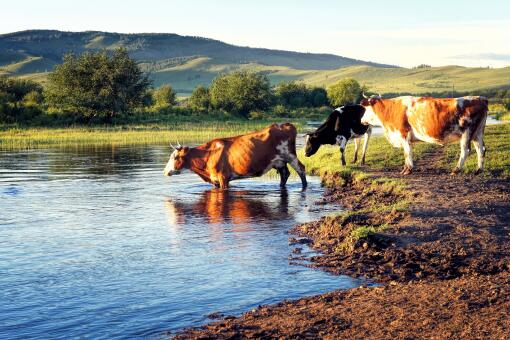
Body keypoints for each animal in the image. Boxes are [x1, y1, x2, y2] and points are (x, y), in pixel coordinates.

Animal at [163, 123, 306, 190]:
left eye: (175, 157)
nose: (164, 171)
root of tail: (285, 125)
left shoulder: (223, 178)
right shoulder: (215, 180)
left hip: (290, 155)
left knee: (301, 169)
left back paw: (304, 187)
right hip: (279, 161)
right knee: (285, 174)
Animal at [360, 95, 488, 175]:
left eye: (366, 109)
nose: (361, 120)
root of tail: (479, 98)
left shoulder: (403, 134)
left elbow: (407, 152)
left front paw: (408, 170)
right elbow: (407, 153)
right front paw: (406, 168)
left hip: (467, 132)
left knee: (466, 150)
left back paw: (456, 170)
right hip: (477, 133)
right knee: (480, 149)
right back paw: (479, 170)